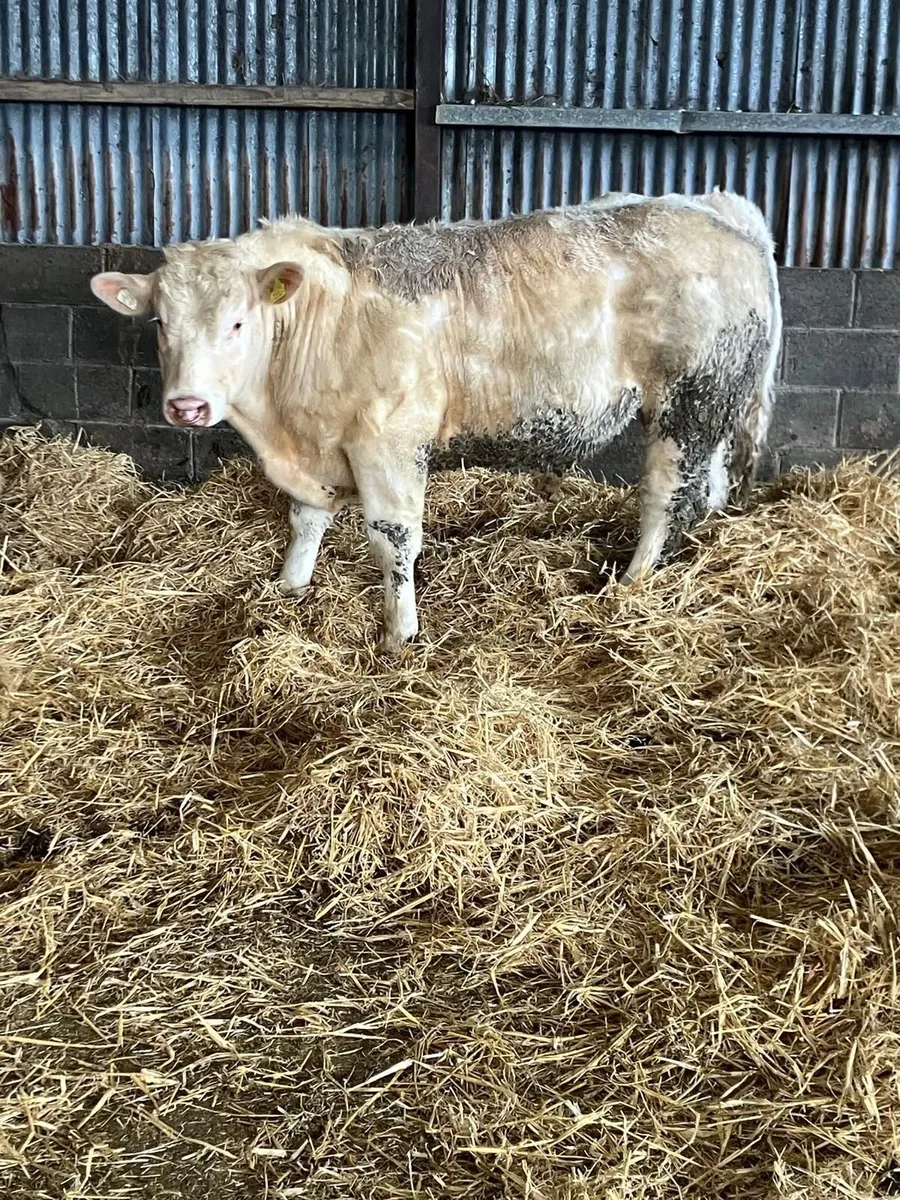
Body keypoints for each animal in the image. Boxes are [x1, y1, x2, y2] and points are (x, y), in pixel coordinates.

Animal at [90, 191, 780, 652]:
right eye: (160, 323)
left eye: (237, 322)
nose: (186, 406)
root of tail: (713, 208)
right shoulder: (319, 445)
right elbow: (306, 520)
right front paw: (288, 590)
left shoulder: (388, 442)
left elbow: (392, 540)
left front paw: (401, 634)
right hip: (716, 409)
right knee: (709, 490)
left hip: (689, 401)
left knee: (665, 496)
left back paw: (632, 582)